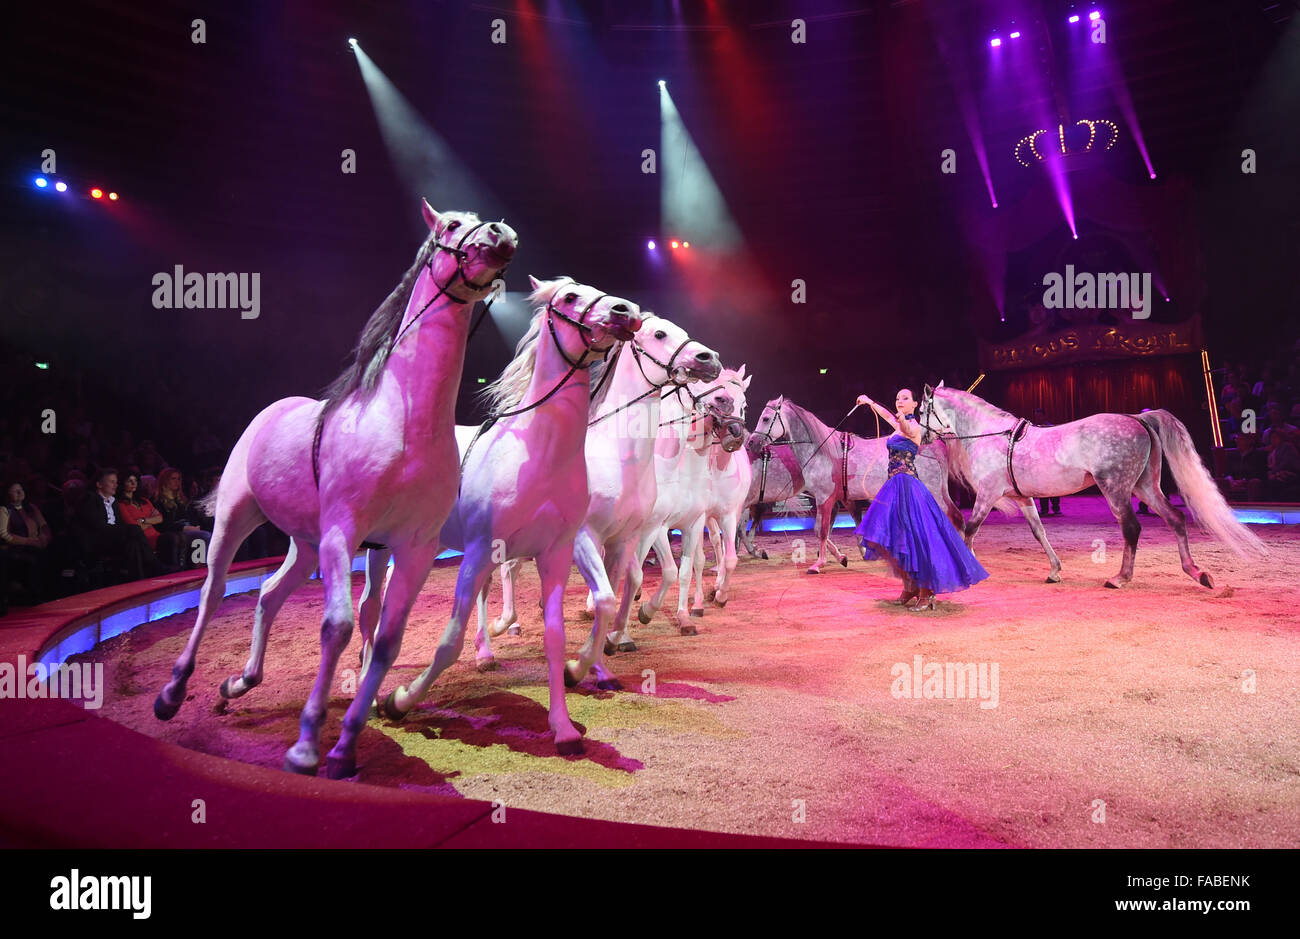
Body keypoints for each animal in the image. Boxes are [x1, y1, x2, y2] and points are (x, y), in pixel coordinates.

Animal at [154, 198, 514, 775]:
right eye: (453, 224)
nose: (501, 235)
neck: (404, 422)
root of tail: (272, 409)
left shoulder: (414, 547)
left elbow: (387, 639)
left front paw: (345, 747)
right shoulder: (344, 533)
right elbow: (339, 627)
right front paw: (306, 747)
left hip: (304, 542)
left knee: (268, 595)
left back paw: (238, 684)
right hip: (237, 517)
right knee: (212, 592)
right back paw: (172, 693)